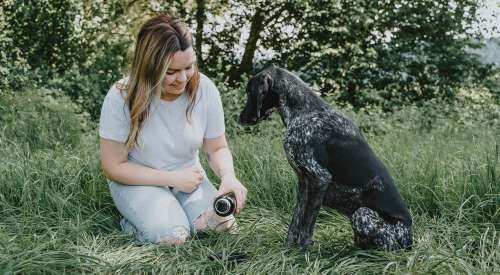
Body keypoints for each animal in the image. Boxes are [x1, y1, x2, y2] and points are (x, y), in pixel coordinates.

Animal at [240, 66, 412, 251]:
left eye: (249, 91)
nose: (240, 117)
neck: (306, 112)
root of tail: (409, 238)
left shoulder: (319, 179)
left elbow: (306, 226)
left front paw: (302, 251)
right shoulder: (304, 183)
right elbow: (295, 222)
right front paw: (288, 250)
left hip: (362, 214)